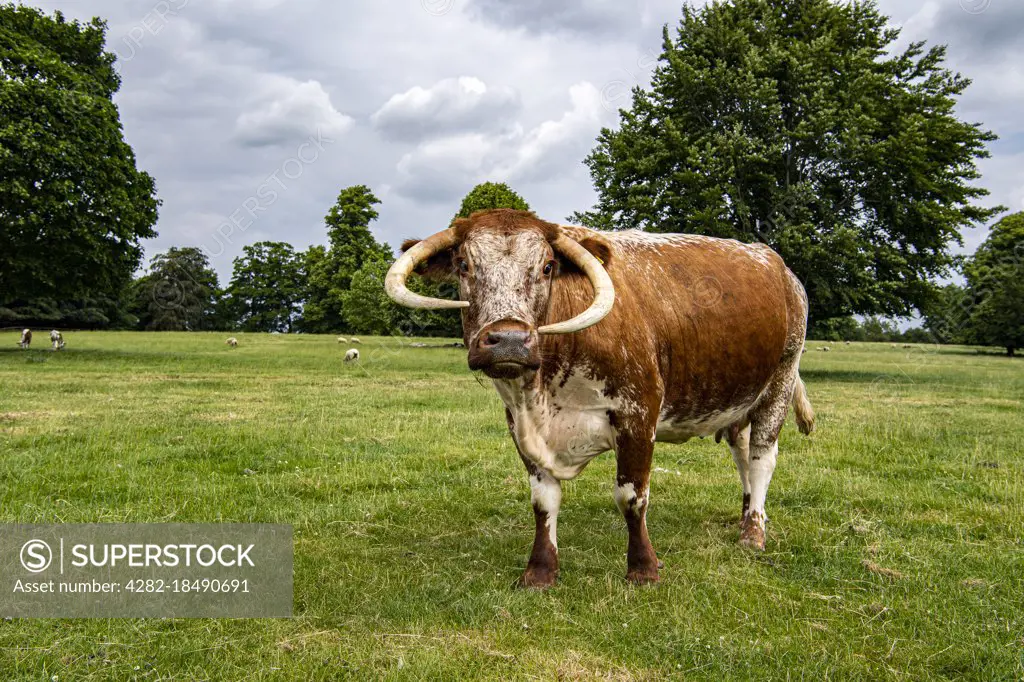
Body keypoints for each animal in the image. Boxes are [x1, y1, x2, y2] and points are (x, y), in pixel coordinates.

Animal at [385, 208, 815, 585]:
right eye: (463, 264)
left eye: (547, 266)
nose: (508, 340)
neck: (542, 395)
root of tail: (778, 264)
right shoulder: (519, 424)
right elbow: (543, 502)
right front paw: (540, 572)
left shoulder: (638, 414)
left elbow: (631, 497)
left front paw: (643, 569)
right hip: (737, 398)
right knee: (741, 451)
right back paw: (745, 515)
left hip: (780, 379)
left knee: (761, 456)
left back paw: (753, 532)